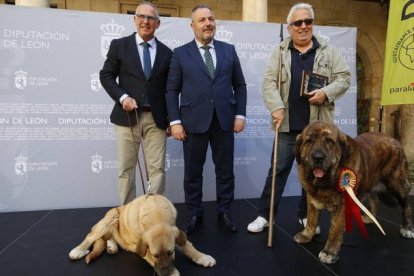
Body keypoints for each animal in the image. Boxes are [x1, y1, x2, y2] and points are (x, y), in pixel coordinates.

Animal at [69, 194, 215, 276]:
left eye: (170, 252)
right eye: (155, 255)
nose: (164, 274)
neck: (156, 215)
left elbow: (188, 246)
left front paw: (202, 257)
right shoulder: (142, 248)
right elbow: (147, 254)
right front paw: (173, 273)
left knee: (109, 237)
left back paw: (112, 246)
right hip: (112, 216)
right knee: (90, 237)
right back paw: (78, 250)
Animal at [292, 122, 412, 264]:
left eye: (329, 141)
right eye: (309, 141)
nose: (318, 157)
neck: (327, 181)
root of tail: (394, 140)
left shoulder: (342, 206)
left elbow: (334, 231)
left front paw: (329, 252)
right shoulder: (311, 199)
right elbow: (311, 220)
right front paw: (306, 235)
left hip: (396, 184)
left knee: (406, 204)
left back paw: (407, 228)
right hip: (370, 181)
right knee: (374, 199)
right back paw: (369, 217)